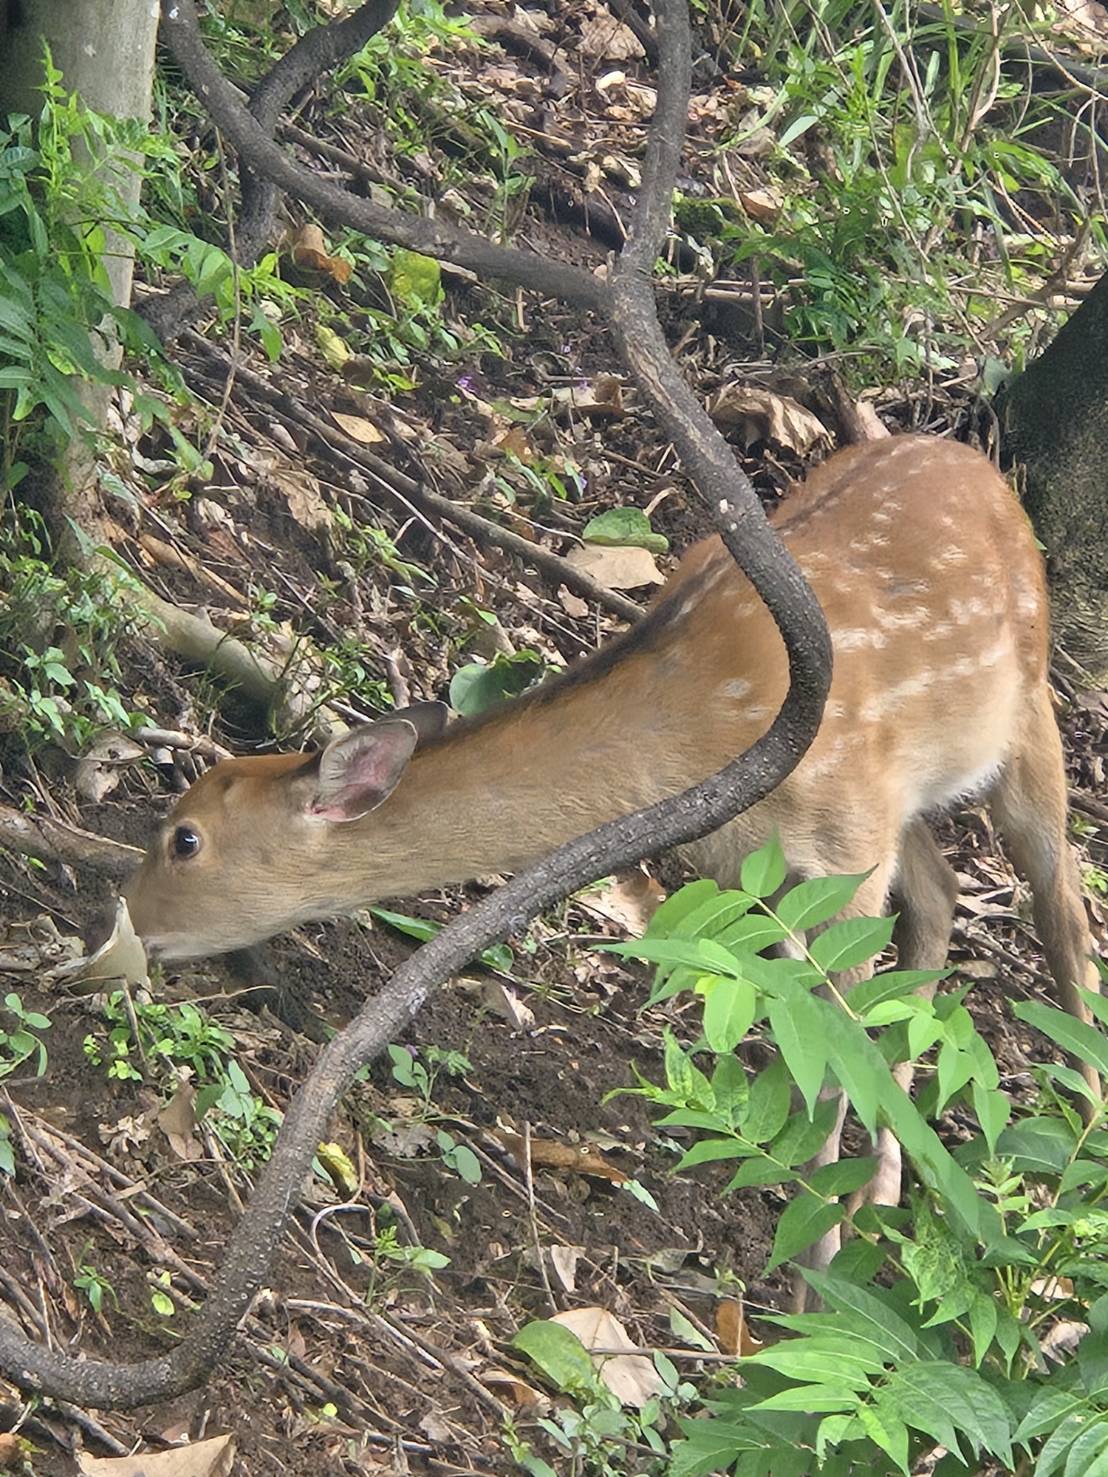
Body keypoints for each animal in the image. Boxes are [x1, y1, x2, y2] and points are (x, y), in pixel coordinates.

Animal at [124, 431, 1101, 1285]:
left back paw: (1067, 1194)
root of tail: (986, 466)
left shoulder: (846, 846)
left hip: (1025, 715)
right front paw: (829, 1239)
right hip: (912, 800)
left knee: (1063, 909)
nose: (123, 921)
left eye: (185, 838)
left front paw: (811, 1285)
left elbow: (833, 1054)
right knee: (940, 893)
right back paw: (886, 1198)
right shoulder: (760, 867)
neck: (707, 726)